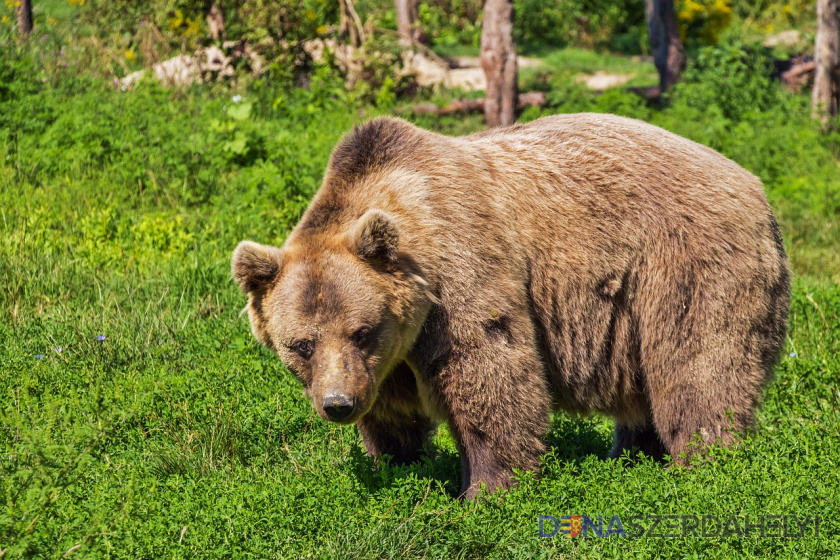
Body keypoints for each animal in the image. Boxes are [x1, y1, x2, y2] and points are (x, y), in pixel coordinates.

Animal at [233, 114, 792, 498]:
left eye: (361, 330)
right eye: (301, 344)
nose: (337, 405)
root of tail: (756, 187)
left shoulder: (460, 274)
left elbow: (490, 373)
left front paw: (485, 489)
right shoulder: (389, 356)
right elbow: (393, 412)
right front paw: (398, 464)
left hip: (685, 264)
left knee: (698, 367)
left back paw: (703, 463)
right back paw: (631, 455)